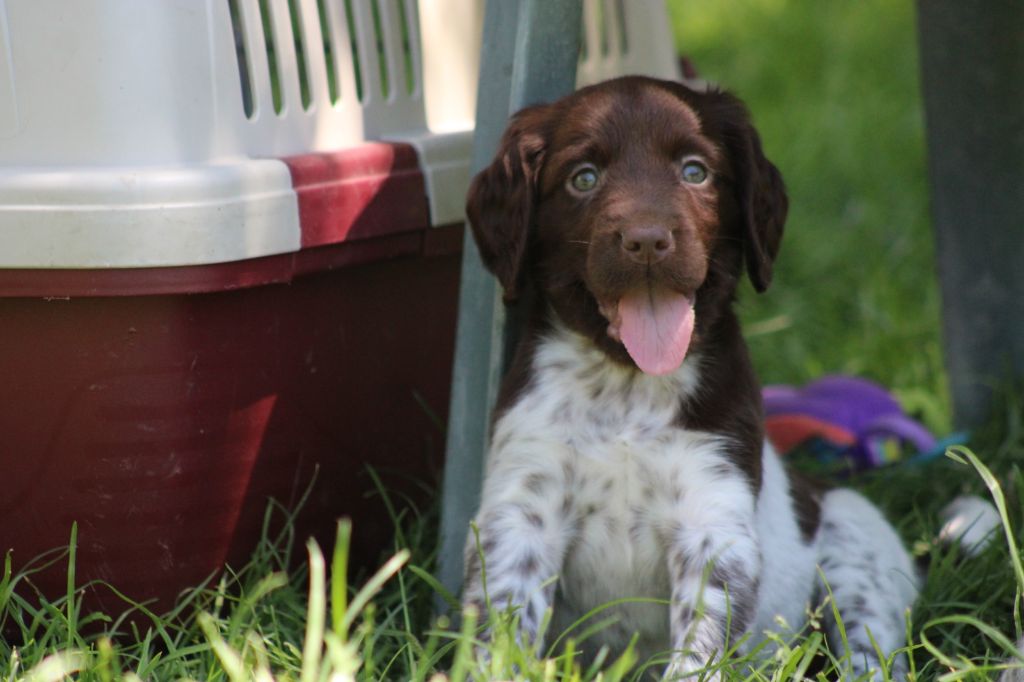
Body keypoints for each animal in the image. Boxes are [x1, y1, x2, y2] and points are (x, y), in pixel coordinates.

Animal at [460, 76, 917, 675]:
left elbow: (699, 647)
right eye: (583, 178)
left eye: (695, 171)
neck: (625, 388)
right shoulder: (521, 513)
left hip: (858, 561)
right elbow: (502, 630)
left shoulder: (712, 521)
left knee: (868, 649)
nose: (647, 241)